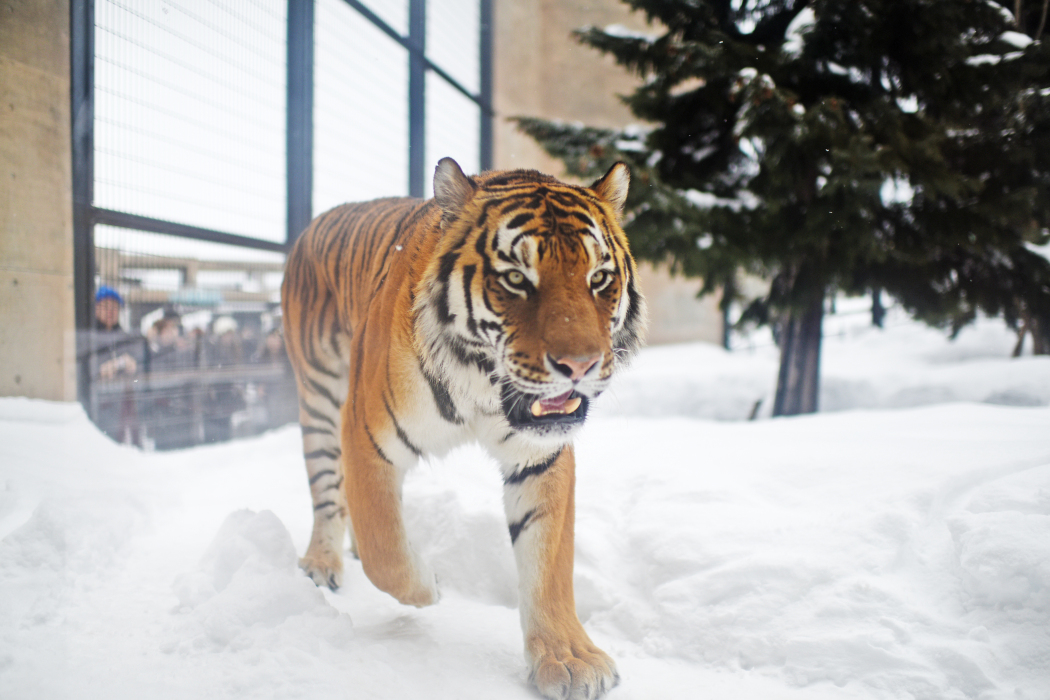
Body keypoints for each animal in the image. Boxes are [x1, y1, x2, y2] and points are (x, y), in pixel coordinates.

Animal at [279, 158, 642, 700]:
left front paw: (569, 659)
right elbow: (386, 548)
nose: (580, 366)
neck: (482, 387)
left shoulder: (541, 456)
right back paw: (323, 563)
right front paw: (429, 586)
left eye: (599, 278)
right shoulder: (366, 435)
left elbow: (549, 564)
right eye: (515, 278)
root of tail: (314, 224)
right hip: (320, 397)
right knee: (329, 492)